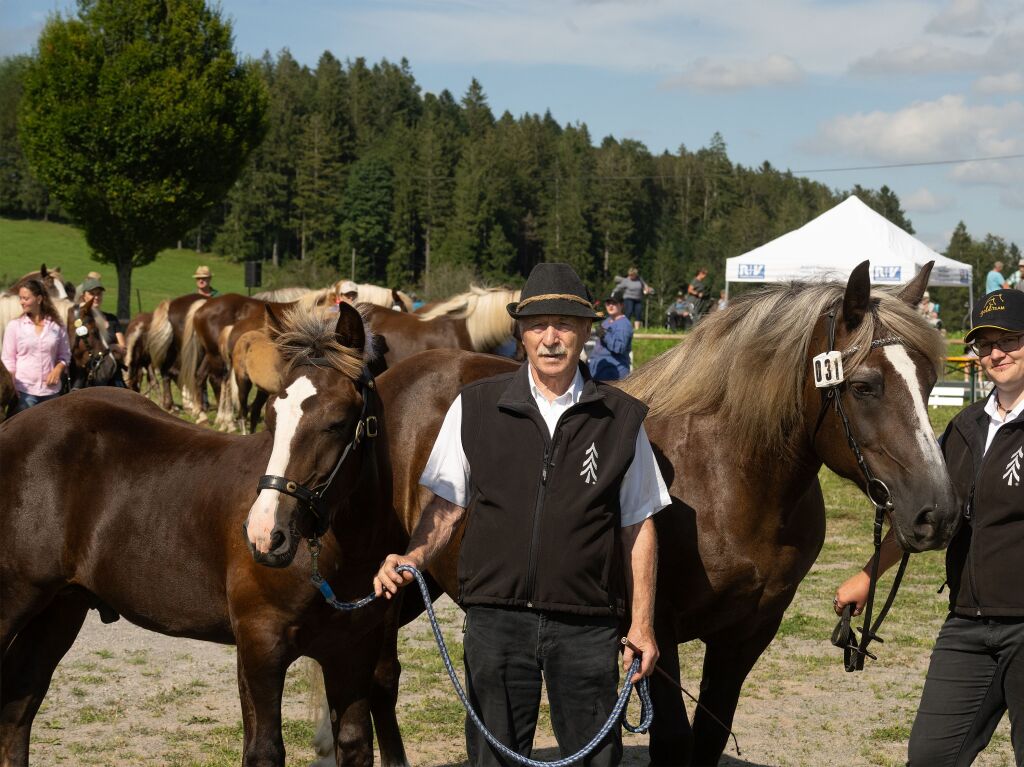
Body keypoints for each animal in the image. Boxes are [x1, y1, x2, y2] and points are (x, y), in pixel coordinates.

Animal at [4, 303, 411, 765]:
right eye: (272, 415)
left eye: (339, 422)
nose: (265, 534)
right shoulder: (260, 646)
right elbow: (264, 750)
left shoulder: (352, 652)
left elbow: (356, 743)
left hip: (59, 608)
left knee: (18, 706)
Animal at [368, 260, 958, 761]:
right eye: (864, 386)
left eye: (930, 383)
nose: (939, 514)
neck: (726, 478)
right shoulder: (657, 635)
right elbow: (672, 741)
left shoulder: (748, 633)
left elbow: (709, 740)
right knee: (378, 674)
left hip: (420, 579)